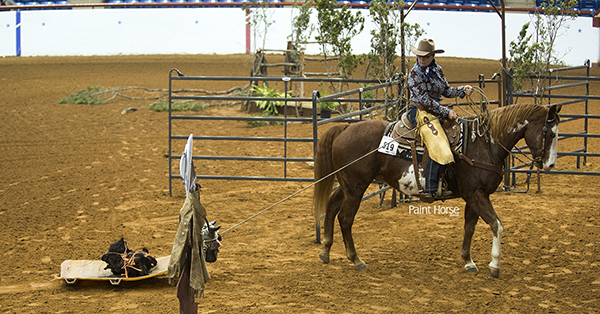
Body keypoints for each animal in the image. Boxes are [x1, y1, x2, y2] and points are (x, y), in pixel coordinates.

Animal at [314, 103, 564, 278]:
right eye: (551, 133)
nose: (550, 165)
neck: (484, 145)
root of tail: (345, 127)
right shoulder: (477, 194)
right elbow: (496, 225)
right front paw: (494, 265)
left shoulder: (473, 196)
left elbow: (470, 227)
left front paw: (468, 261)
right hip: (356, 187)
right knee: (345, 219)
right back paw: (356, 259)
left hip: (348, 185)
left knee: (332, 206)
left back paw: (326, 250)